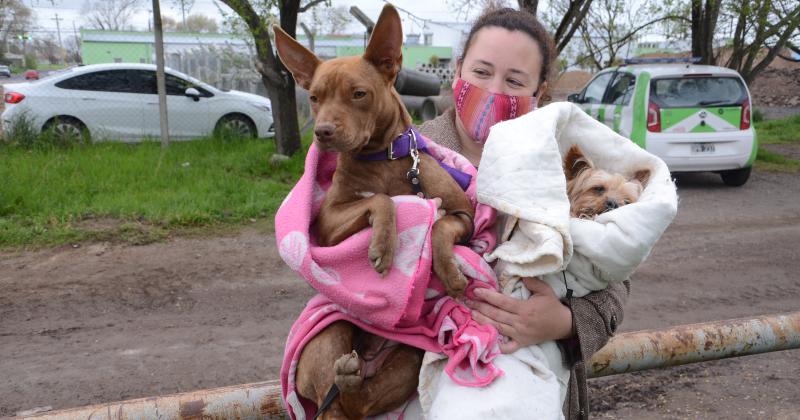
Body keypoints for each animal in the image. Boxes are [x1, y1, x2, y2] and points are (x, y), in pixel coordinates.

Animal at [276, 4, 476, 420]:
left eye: (359, 94)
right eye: (314, 97)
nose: (322, 132)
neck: (382, 157)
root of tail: (367, 357)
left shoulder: (464, 215)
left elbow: (439, 225)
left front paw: (449, 271)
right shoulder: (325, 224)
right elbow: (380, 200)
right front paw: (384, 244)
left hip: (411, 356)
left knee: (362, 401)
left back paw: (353, 379)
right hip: (328, 334)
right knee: (340, 395)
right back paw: (345, 375)